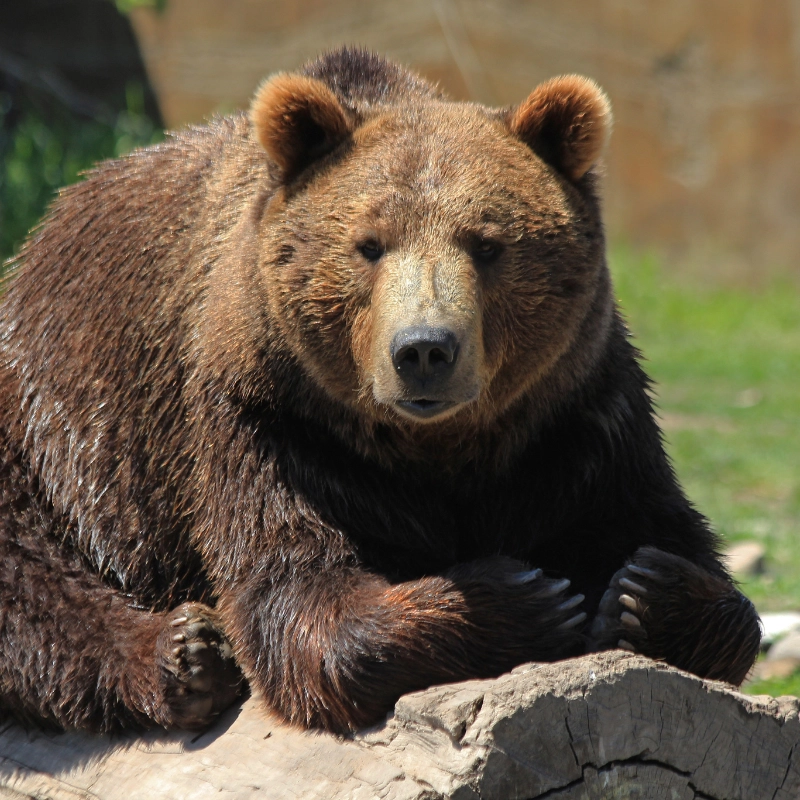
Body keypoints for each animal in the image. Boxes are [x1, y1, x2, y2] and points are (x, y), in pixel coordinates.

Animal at [0, 50, 760, 736]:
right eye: (369, 244)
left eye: (488, 244)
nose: (424, 350)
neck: (435, 449)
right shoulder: (269, 422)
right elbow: (300, 595)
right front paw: (525, 598)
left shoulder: (577, 414)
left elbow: (672, 540)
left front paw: (645, 592)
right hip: (54, 424)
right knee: (28, 570)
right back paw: (185, 654)